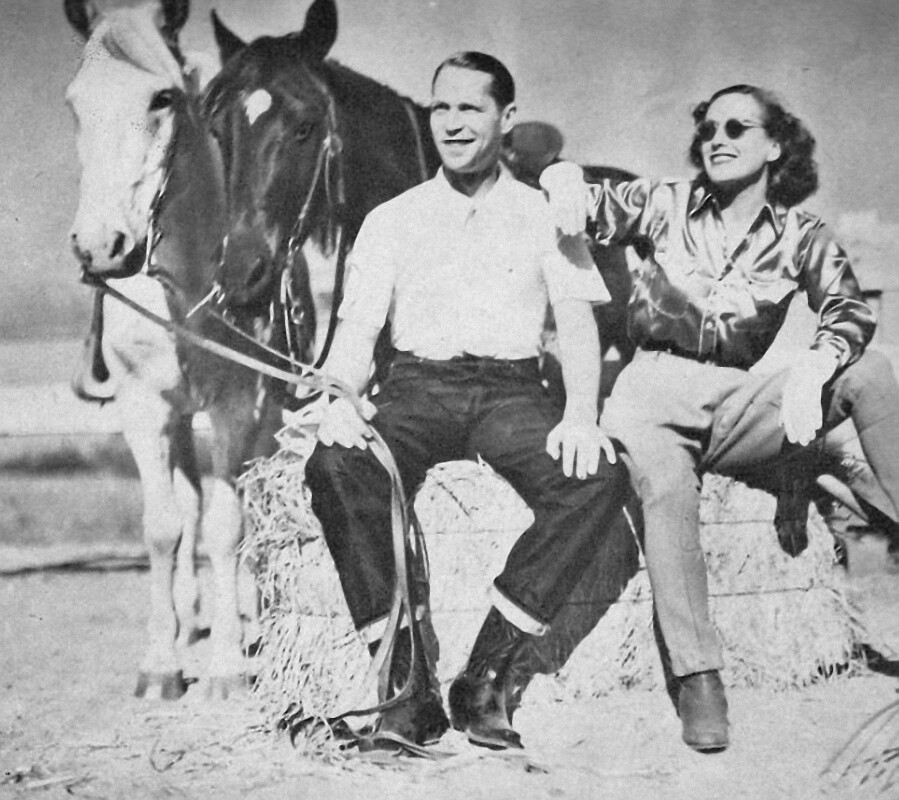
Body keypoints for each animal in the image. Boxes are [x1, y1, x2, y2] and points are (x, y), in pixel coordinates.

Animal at [64, 0, 279, 700]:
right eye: (75, 103)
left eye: (163, 97)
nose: (101, 246)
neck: (184, 292)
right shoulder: (145, 409)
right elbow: (164, 527)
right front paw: (161, 664)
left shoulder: (240, 408)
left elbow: (226, 526)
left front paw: (230, 668)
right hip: (181, 419)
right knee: (187, 502)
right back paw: (190, 621)